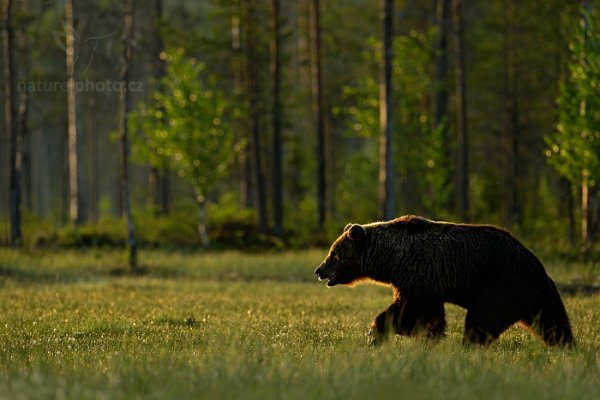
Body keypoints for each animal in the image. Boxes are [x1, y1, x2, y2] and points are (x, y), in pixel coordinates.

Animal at [316, 216, 576, 346]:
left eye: (334, 253)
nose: (319, 270)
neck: (391, 259)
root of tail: (537, 266)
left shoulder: (420, 270)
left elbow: (414, 308)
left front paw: (376, 332)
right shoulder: (411, 277)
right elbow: (427, 312)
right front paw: (429, 335)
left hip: (502, 281)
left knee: (481, 319)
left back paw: (469, 345)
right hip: (539, 294)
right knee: (554, 322)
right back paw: (567, 347)